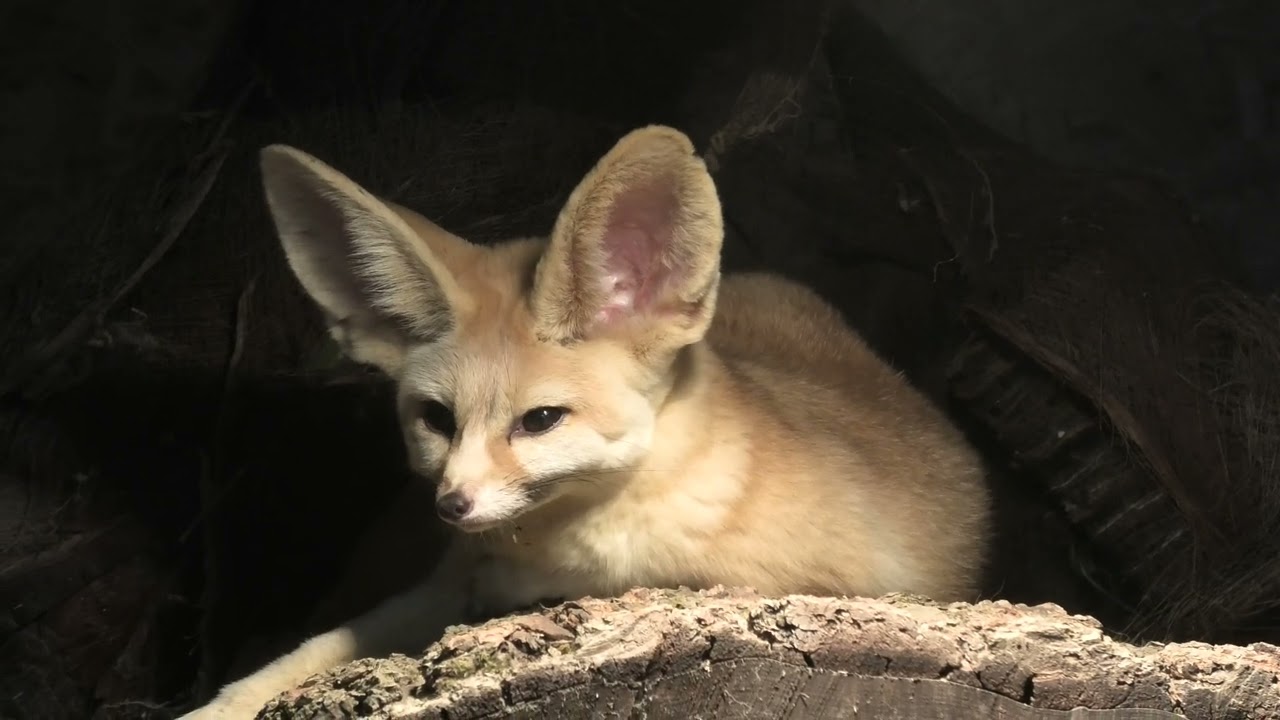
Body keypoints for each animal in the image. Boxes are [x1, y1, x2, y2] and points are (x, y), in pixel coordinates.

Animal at [182, 125, 992, 718]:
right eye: (436, 419)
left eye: (541, 419)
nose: (452, 504)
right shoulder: (440, 586)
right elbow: (303, 657)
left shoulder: (810, 585)